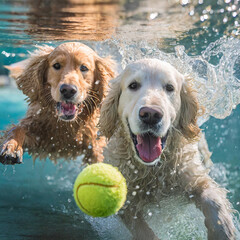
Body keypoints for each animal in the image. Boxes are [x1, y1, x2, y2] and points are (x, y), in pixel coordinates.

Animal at [98, 58, 235, 240]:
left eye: (169, 87)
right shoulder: (127, 203)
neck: (153, 169)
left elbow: (212, 199)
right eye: (133, 85)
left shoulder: (191, 176)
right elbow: (142, 230)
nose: (150, 114)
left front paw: (223, 230)